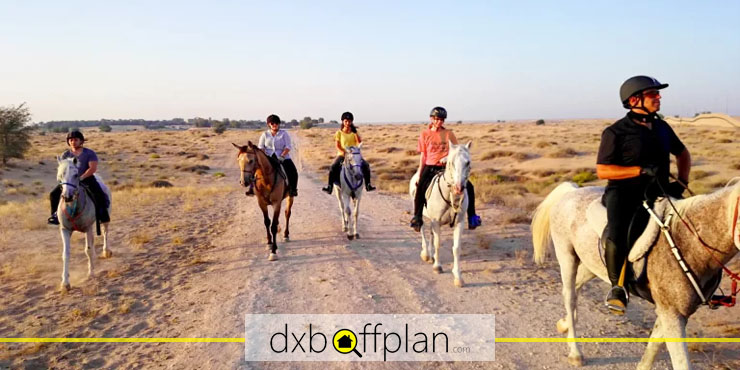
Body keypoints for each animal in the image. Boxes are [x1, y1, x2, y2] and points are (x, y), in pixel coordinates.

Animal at [56, 156, 112, 292]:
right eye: (60, 175)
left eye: (76, 174)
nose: (67, 197)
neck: (73, 207)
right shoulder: (65, 230)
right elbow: (66, 254)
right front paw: (65, 283)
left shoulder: (87, 228)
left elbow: (88, 250)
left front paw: (91, 273)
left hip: (104, 219)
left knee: (105, 232)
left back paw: (106, 251)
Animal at [408, 140, 472, 288]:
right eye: (451, 162)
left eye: (467, 162)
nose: (459, 188)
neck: (450, 196)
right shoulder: (436, 221)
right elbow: (438, 243)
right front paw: (438, 266)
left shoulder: (459, 222)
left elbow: (456, 248)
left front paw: (458, 277)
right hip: (422, 215)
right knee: (422, 229)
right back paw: (426, 254)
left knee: (431, 234)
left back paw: (431, 256)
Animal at [532, 179, 740, 368]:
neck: (688, 243)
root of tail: (571, 191)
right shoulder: (672, 314)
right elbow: (680, 362)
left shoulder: (670, 312)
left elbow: (652, 349)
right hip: (567, 257)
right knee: (570, 296)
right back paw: (575, 353)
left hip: (592, 265)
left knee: (576, 288)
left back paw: (565, 324)